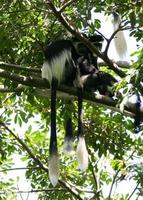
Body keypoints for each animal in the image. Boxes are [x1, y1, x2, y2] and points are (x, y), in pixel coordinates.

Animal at [41, 35, 103, 187]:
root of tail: (52, 77)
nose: (83, 50)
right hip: (66, 70)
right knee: (74, 64)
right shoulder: (73, 50)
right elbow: (79, 61)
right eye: (81, 45)